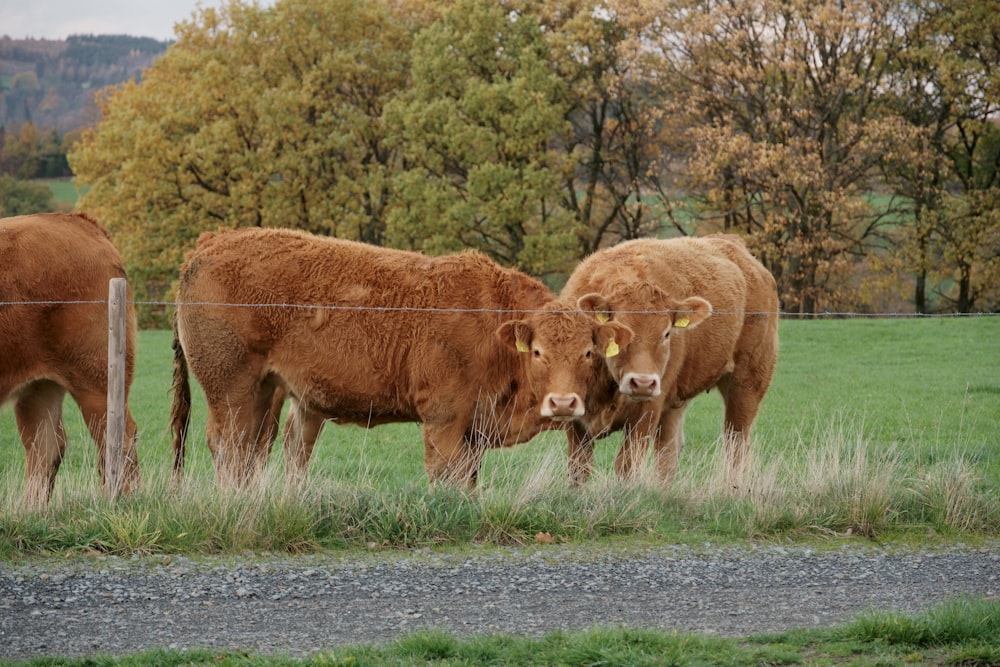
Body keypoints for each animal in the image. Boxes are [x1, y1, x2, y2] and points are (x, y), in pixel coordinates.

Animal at [0, 211, 140, 508]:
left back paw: (123, 502)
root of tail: (77, 220)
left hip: (96, 382)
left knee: (118, 438)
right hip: (39, 387)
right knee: (44, 446)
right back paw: (31, 512)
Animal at [171, 227, 624, 488]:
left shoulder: (474, 429)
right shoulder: (443, 421)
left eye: (588, 352)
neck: (492, 320)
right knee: (230, 449)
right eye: (538, 351)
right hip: (230, 390)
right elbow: (446, 477)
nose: (563, 403)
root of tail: (211, 242)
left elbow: (469, 481)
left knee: (261, 449)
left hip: (267, 390)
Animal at [560, 235, 776, 490]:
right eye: (618, 331)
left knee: (736, 443)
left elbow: (626, 466)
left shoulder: (646, 414)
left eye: (666, 333)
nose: (643, 383)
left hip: (747, 384)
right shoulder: (576, 421)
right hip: (677, 403)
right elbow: (579, 470)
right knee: (669, 451)